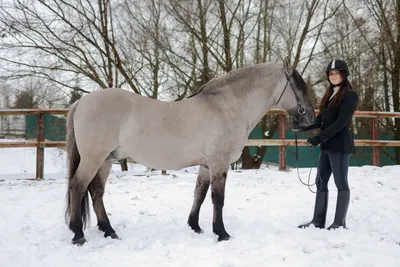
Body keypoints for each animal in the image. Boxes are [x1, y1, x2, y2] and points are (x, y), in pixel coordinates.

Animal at [65, 58, 316, 245]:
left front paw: (195, 226)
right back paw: (78, 234)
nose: (311, 119)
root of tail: (82, 102)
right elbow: (218, 199)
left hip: (106, 160)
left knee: (96, 191)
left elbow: (200, 194)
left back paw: (109, 230)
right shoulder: (219, 164)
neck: (226, 106)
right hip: (94, 158)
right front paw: (222, 233)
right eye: (298, 86)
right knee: (78, 186)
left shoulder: (206, 165)